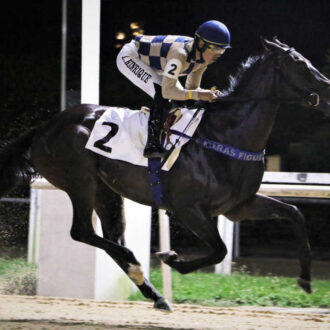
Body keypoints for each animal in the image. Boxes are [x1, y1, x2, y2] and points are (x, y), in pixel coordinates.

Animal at [0, 38, 330, 310]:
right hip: (80, 182)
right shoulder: (186, 208)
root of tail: (44, 128)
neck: (225, 134)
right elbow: (220, 249)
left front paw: (305, 279)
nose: (328, 90)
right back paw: (136, 262)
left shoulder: (239, 206)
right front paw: (173, 259)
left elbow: (294, 213)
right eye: (300, 64)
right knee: (82, 232)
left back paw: (153, 292)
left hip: (106, 190)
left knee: (109, 237)